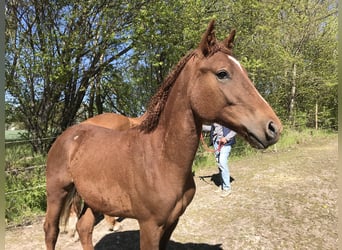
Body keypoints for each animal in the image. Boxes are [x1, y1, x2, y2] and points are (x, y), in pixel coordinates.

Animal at [44, 20, 282, 249]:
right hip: (57, 193)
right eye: (222, 73)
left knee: (84, 228)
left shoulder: (172, 222)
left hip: (95, 198)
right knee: (51, 231)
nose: (273, 127)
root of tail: (67, 135)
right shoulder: (150, 225)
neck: (161, 158)